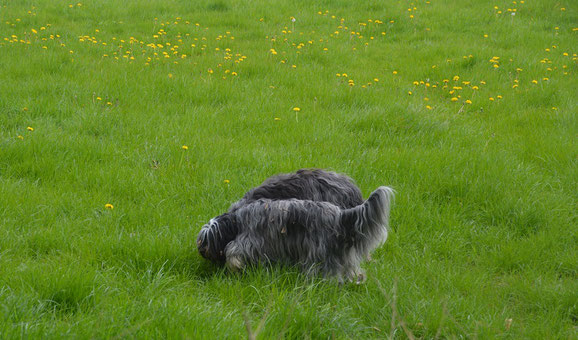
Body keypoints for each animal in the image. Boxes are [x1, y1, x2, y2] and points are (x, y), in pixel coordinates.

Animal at [197, 186, 392, 282]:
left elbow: (234, 250)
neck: (236, 221)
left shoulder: (251, 239)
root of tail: (340, 216)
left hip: (318, 251)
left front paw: (234, 266)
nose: (201, 251)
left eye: (207, 240)